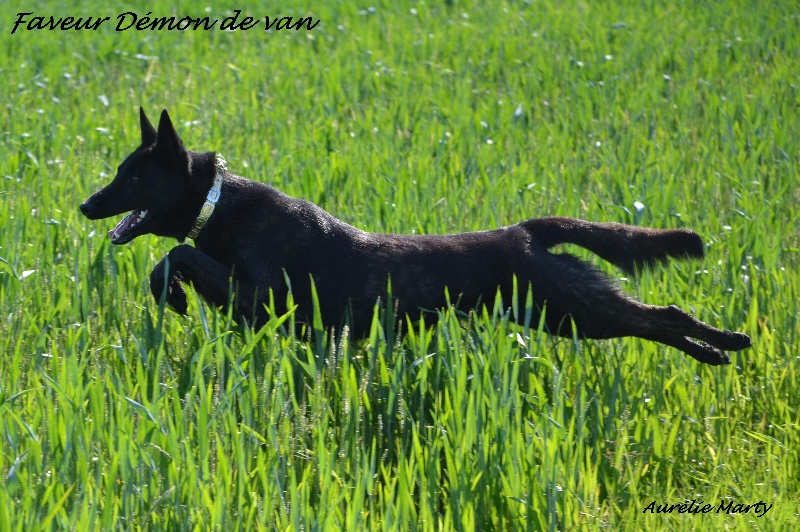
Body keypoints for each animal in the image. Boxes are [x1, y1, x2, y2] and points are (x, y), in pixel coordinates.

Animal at [80, 108, 751, 365]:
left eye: (131, 176)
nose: (85, 204)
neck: (219, 203)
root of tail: (525, 230)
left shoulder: (264, 297)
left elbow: (178, 252)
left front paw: (172, 293)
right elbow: (176, 255)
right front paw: (169, 294)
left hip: (571, 309)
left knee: (660, 315)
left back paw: (724, 343)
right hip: (563, 313)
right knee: (654, 318)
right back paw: (717, 350)